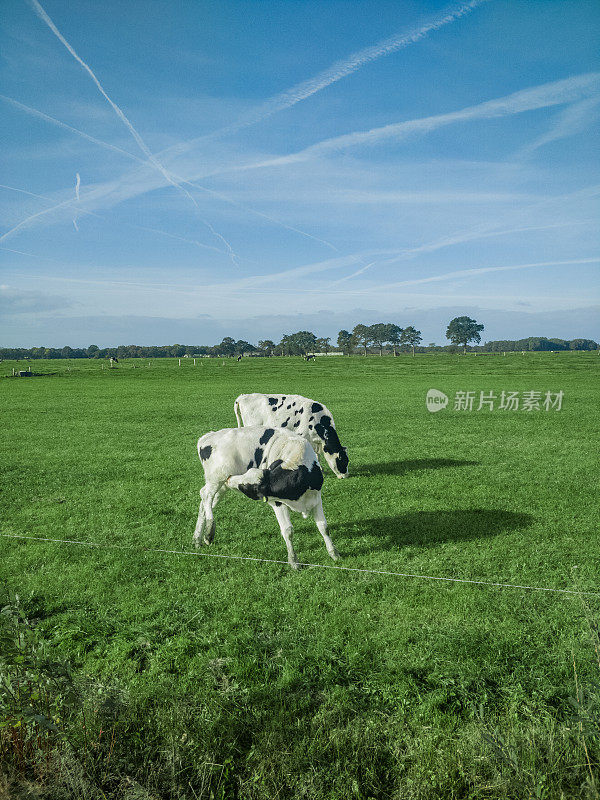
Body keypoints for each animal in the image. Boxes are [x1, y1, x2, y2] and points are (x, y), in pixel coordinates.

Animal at [195, 424, 340, 568]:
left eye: (248, 487)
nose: (231, 479)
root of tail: (208, 437)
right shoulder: (277, 502)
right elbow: (288, 531)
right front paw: (293, 561)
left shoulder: (316, 499)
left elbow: (323, 527)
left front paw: (334, 553)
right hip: (216, 479)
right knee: (206, 495)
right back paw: (209, 532)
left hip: (221, 486)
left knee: (205, 503)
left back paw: (197, 539)